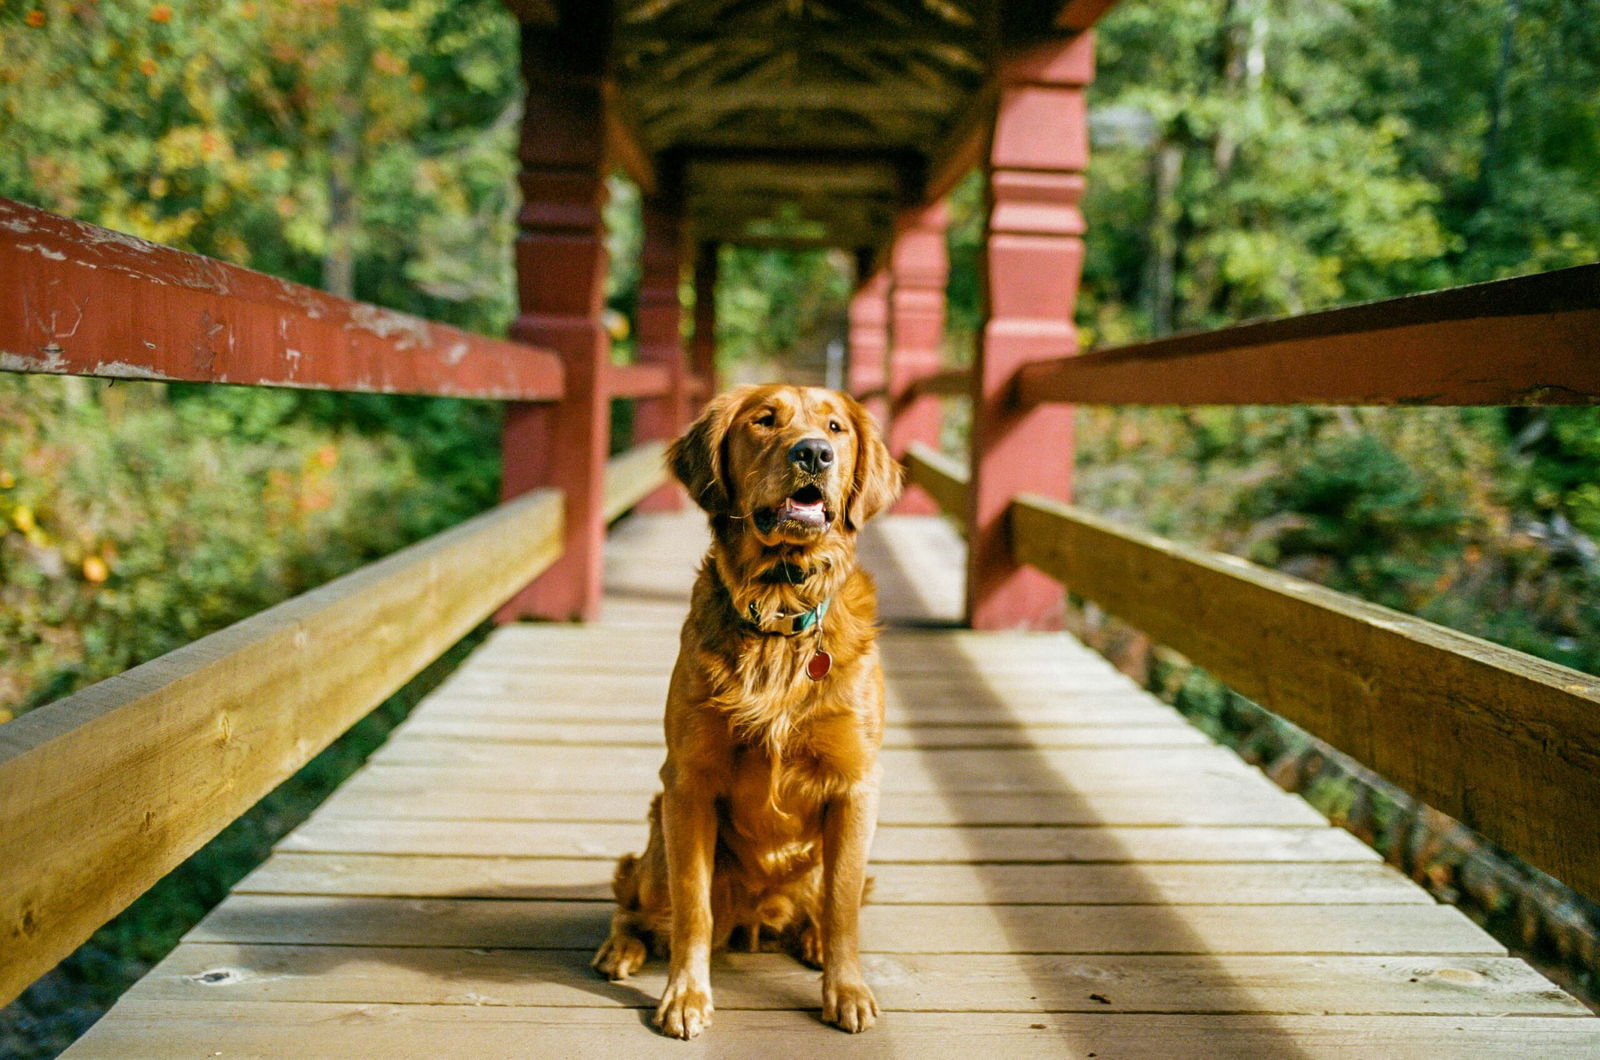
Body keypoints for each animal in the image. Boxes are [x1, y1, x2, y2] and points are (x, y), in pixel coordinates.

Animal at [595, 382, 908, 1037]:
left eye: (837, 428)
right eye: (765, 421)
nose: (813, 453)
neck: (781, 610)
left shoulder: (856, 784)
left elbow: (843, 907)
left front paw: (846, 988)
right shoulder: (688, 783)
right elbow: (693, 909)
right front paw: (686, 996)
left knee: (824, 904)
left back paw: (810, 939)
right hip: (657, 842)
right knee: (634, 905)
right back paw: (621, 947)